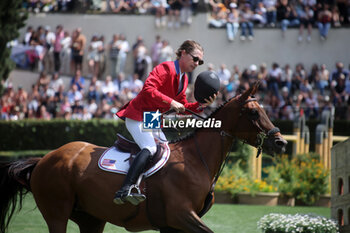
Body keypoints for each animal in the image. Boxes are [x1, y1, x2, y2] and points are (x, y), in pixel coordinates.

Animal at [0, 83, 288, 233]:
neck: (197, 160)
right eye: (253, 112)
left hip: (91, 219)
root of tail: (44, 159)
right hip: (57, 215)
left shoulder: (172, 226)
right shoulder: (181, 215)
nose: (281, 142)